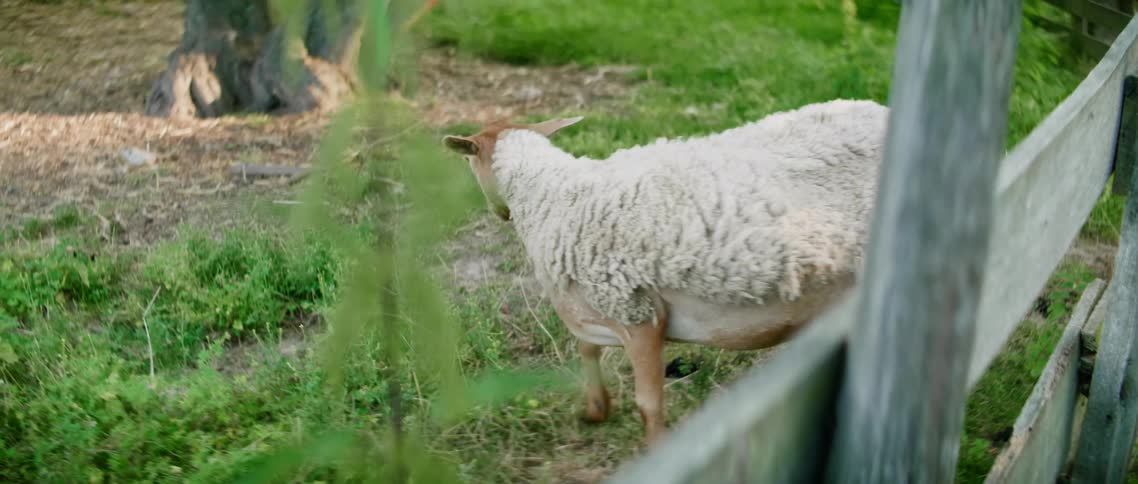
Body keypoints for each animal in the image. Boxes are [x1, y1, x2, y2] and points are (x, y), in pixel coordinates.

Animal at [442, 99, 889, 446]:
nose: (498, 214)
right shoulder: (594, 306)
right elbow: (586, 349)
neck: (553, 195)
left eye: (468, 160)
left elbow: (649, 404)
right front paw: (595, 409)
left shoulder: (637, 312)